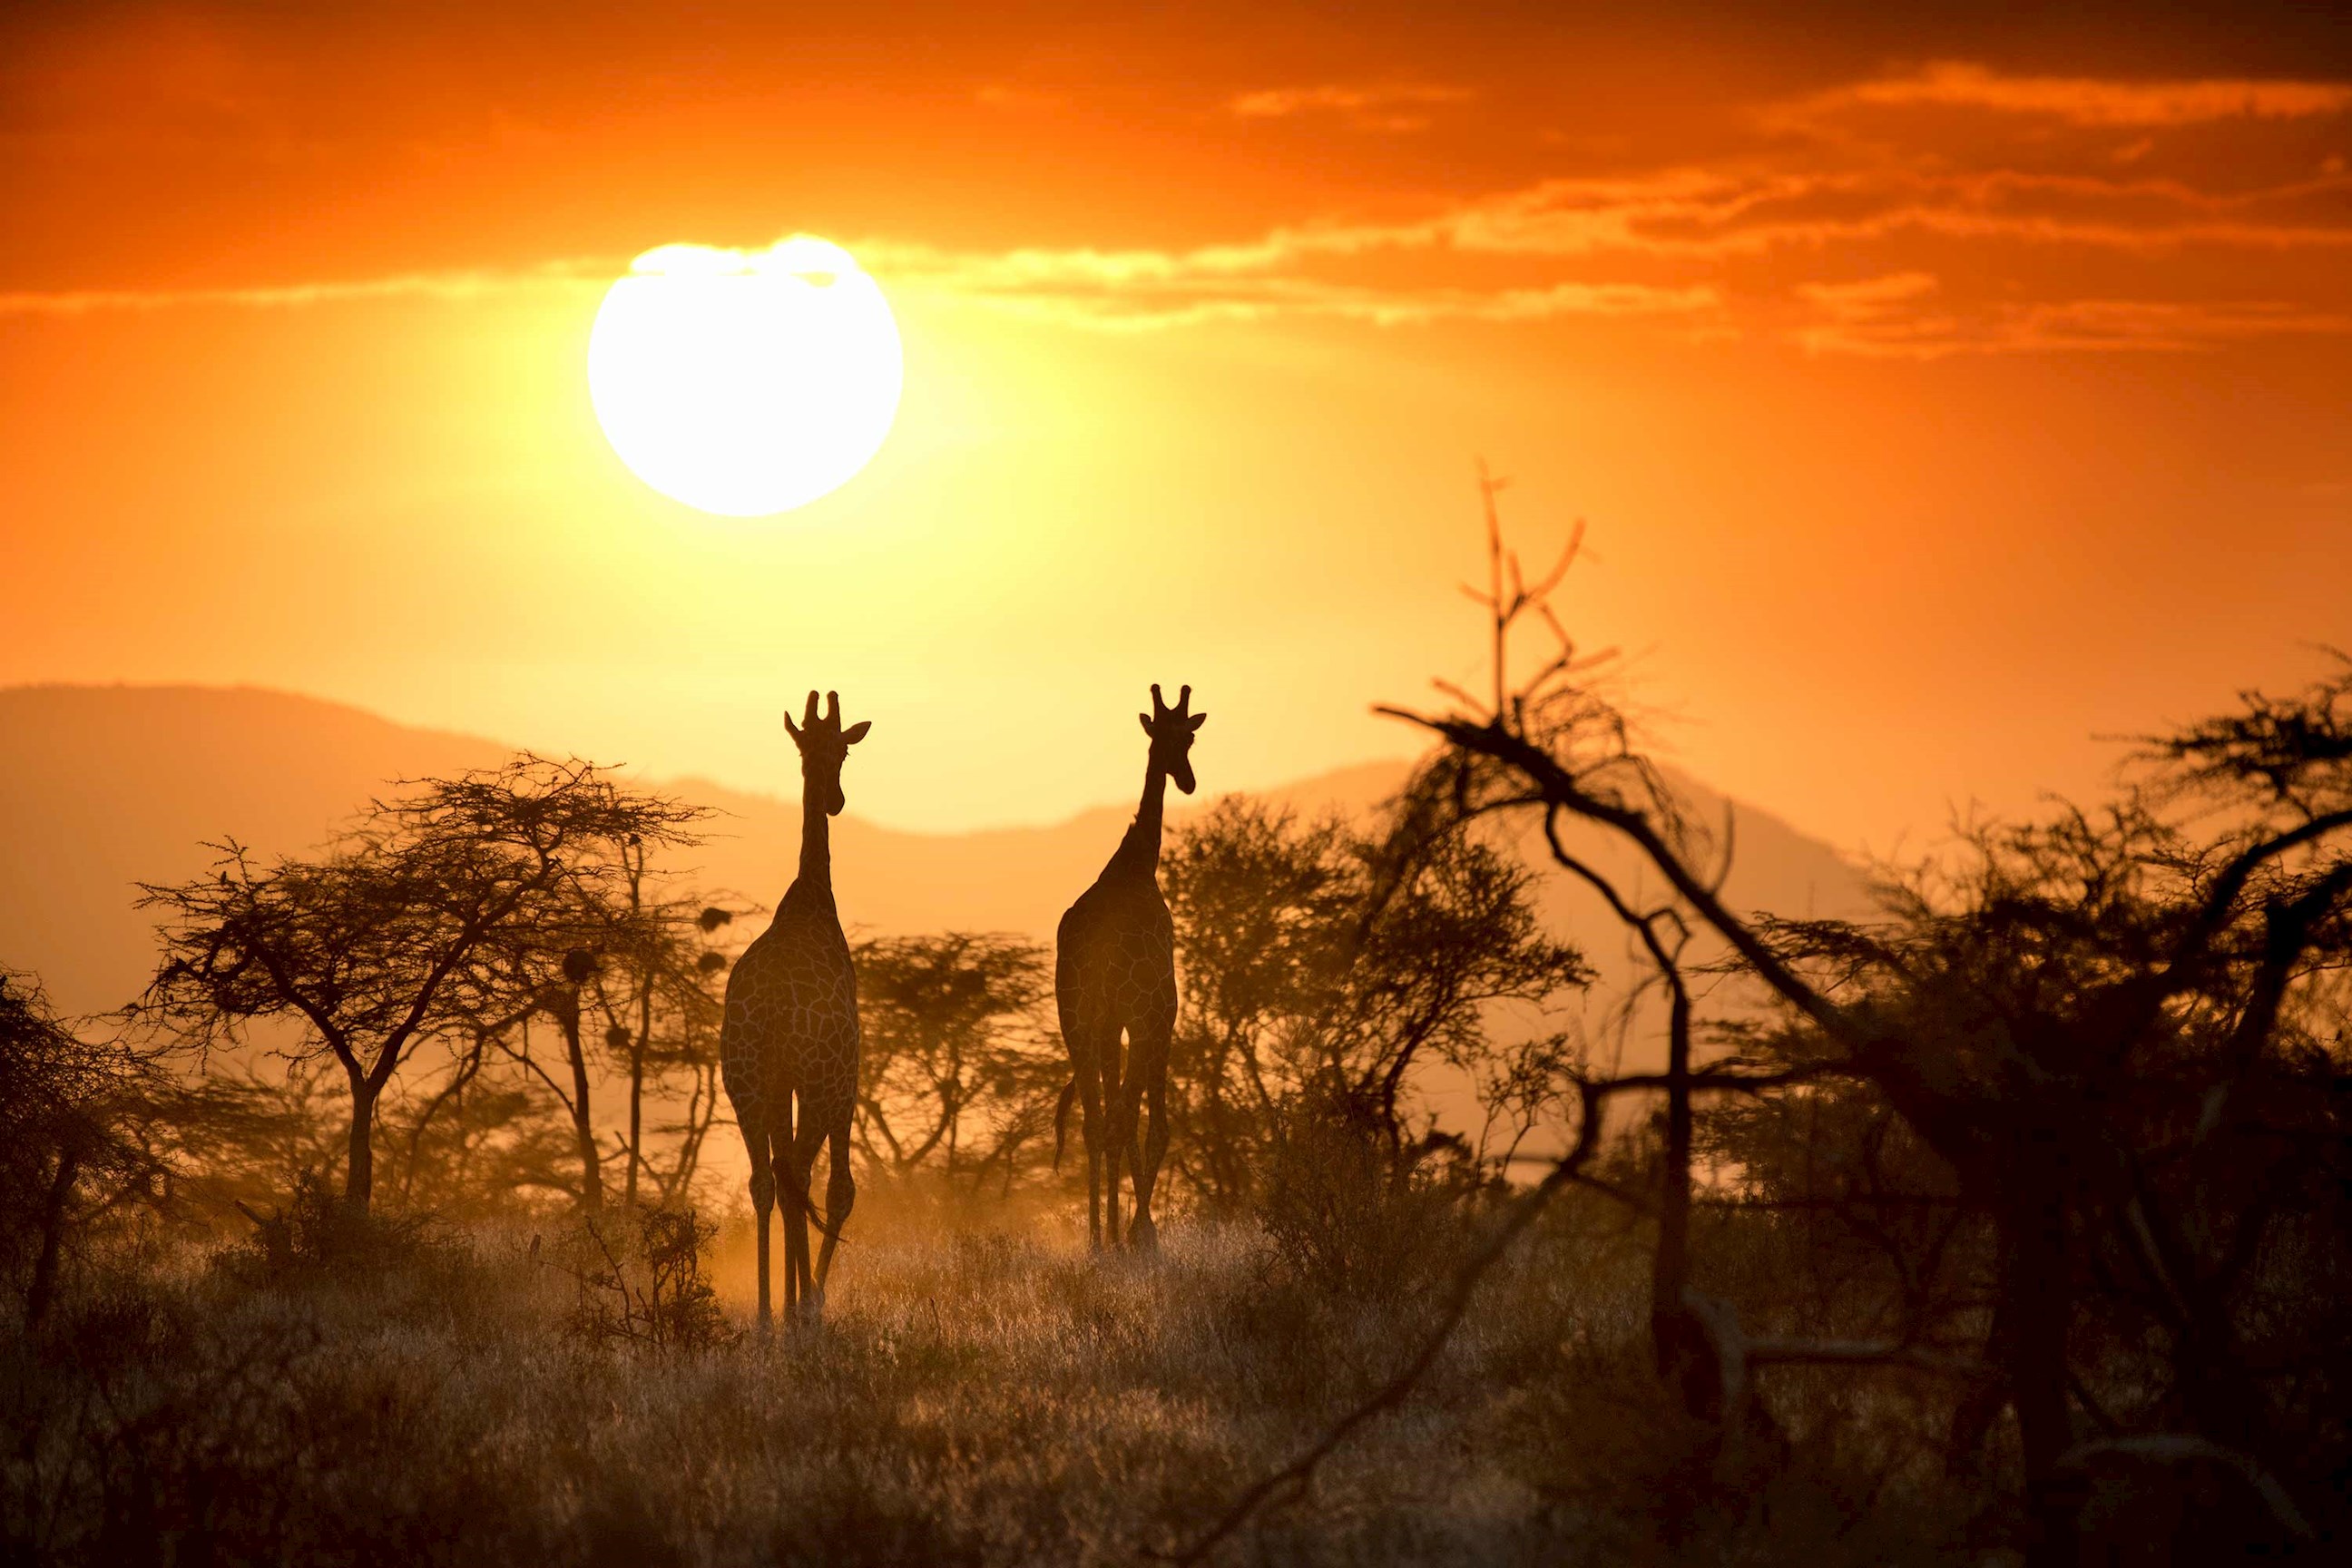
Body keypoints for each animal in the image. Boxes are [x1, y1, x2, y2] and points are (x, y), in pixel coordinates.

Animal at [1055, 682, 1204, 1252]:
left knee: (1095, 1119)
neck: (1139, 862)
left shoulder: (1108, 1025)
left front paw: (1127, 1232)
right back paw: (1123, 1238)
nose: (1187, 779)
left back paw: (1100, 1241)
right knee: (1120, 1117)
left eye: (1187, 736)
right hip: (1139, 1018)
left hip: (1076, 1021)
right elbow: (1155, 1125)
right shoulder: (1160, 1017)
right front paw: (1146, 1233)